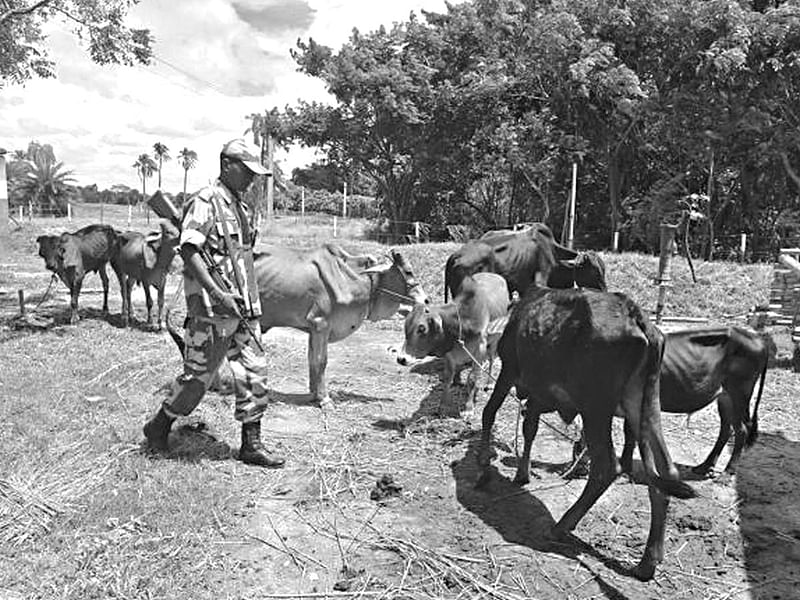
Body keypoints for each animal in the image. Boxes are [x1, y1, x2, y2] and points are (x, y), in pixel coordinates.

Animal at [398, 272, 506, 418]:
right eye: (406, 326)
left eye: (422, 328)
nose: (401, 359)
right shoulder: (450, 354)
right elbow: (447, 378)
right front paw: (443, 406)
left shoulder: (479, 349)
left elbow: (472, 379)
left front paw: (468, 408)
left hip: (494, 341)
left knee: (491, 359)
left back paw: (489, 383)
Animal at [478, 286, 696, 580]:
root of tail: (637, 317)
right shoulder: (537, 392)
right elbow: (529, 428)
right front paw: (522, 474)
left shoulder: (510, 369)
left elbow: (489, 412)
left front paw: (483, 470)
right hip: (644, 404)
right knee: (665, 472)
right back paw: (648, 561)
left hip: (595, 408)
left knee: (607, 467)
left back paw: (561, 526)